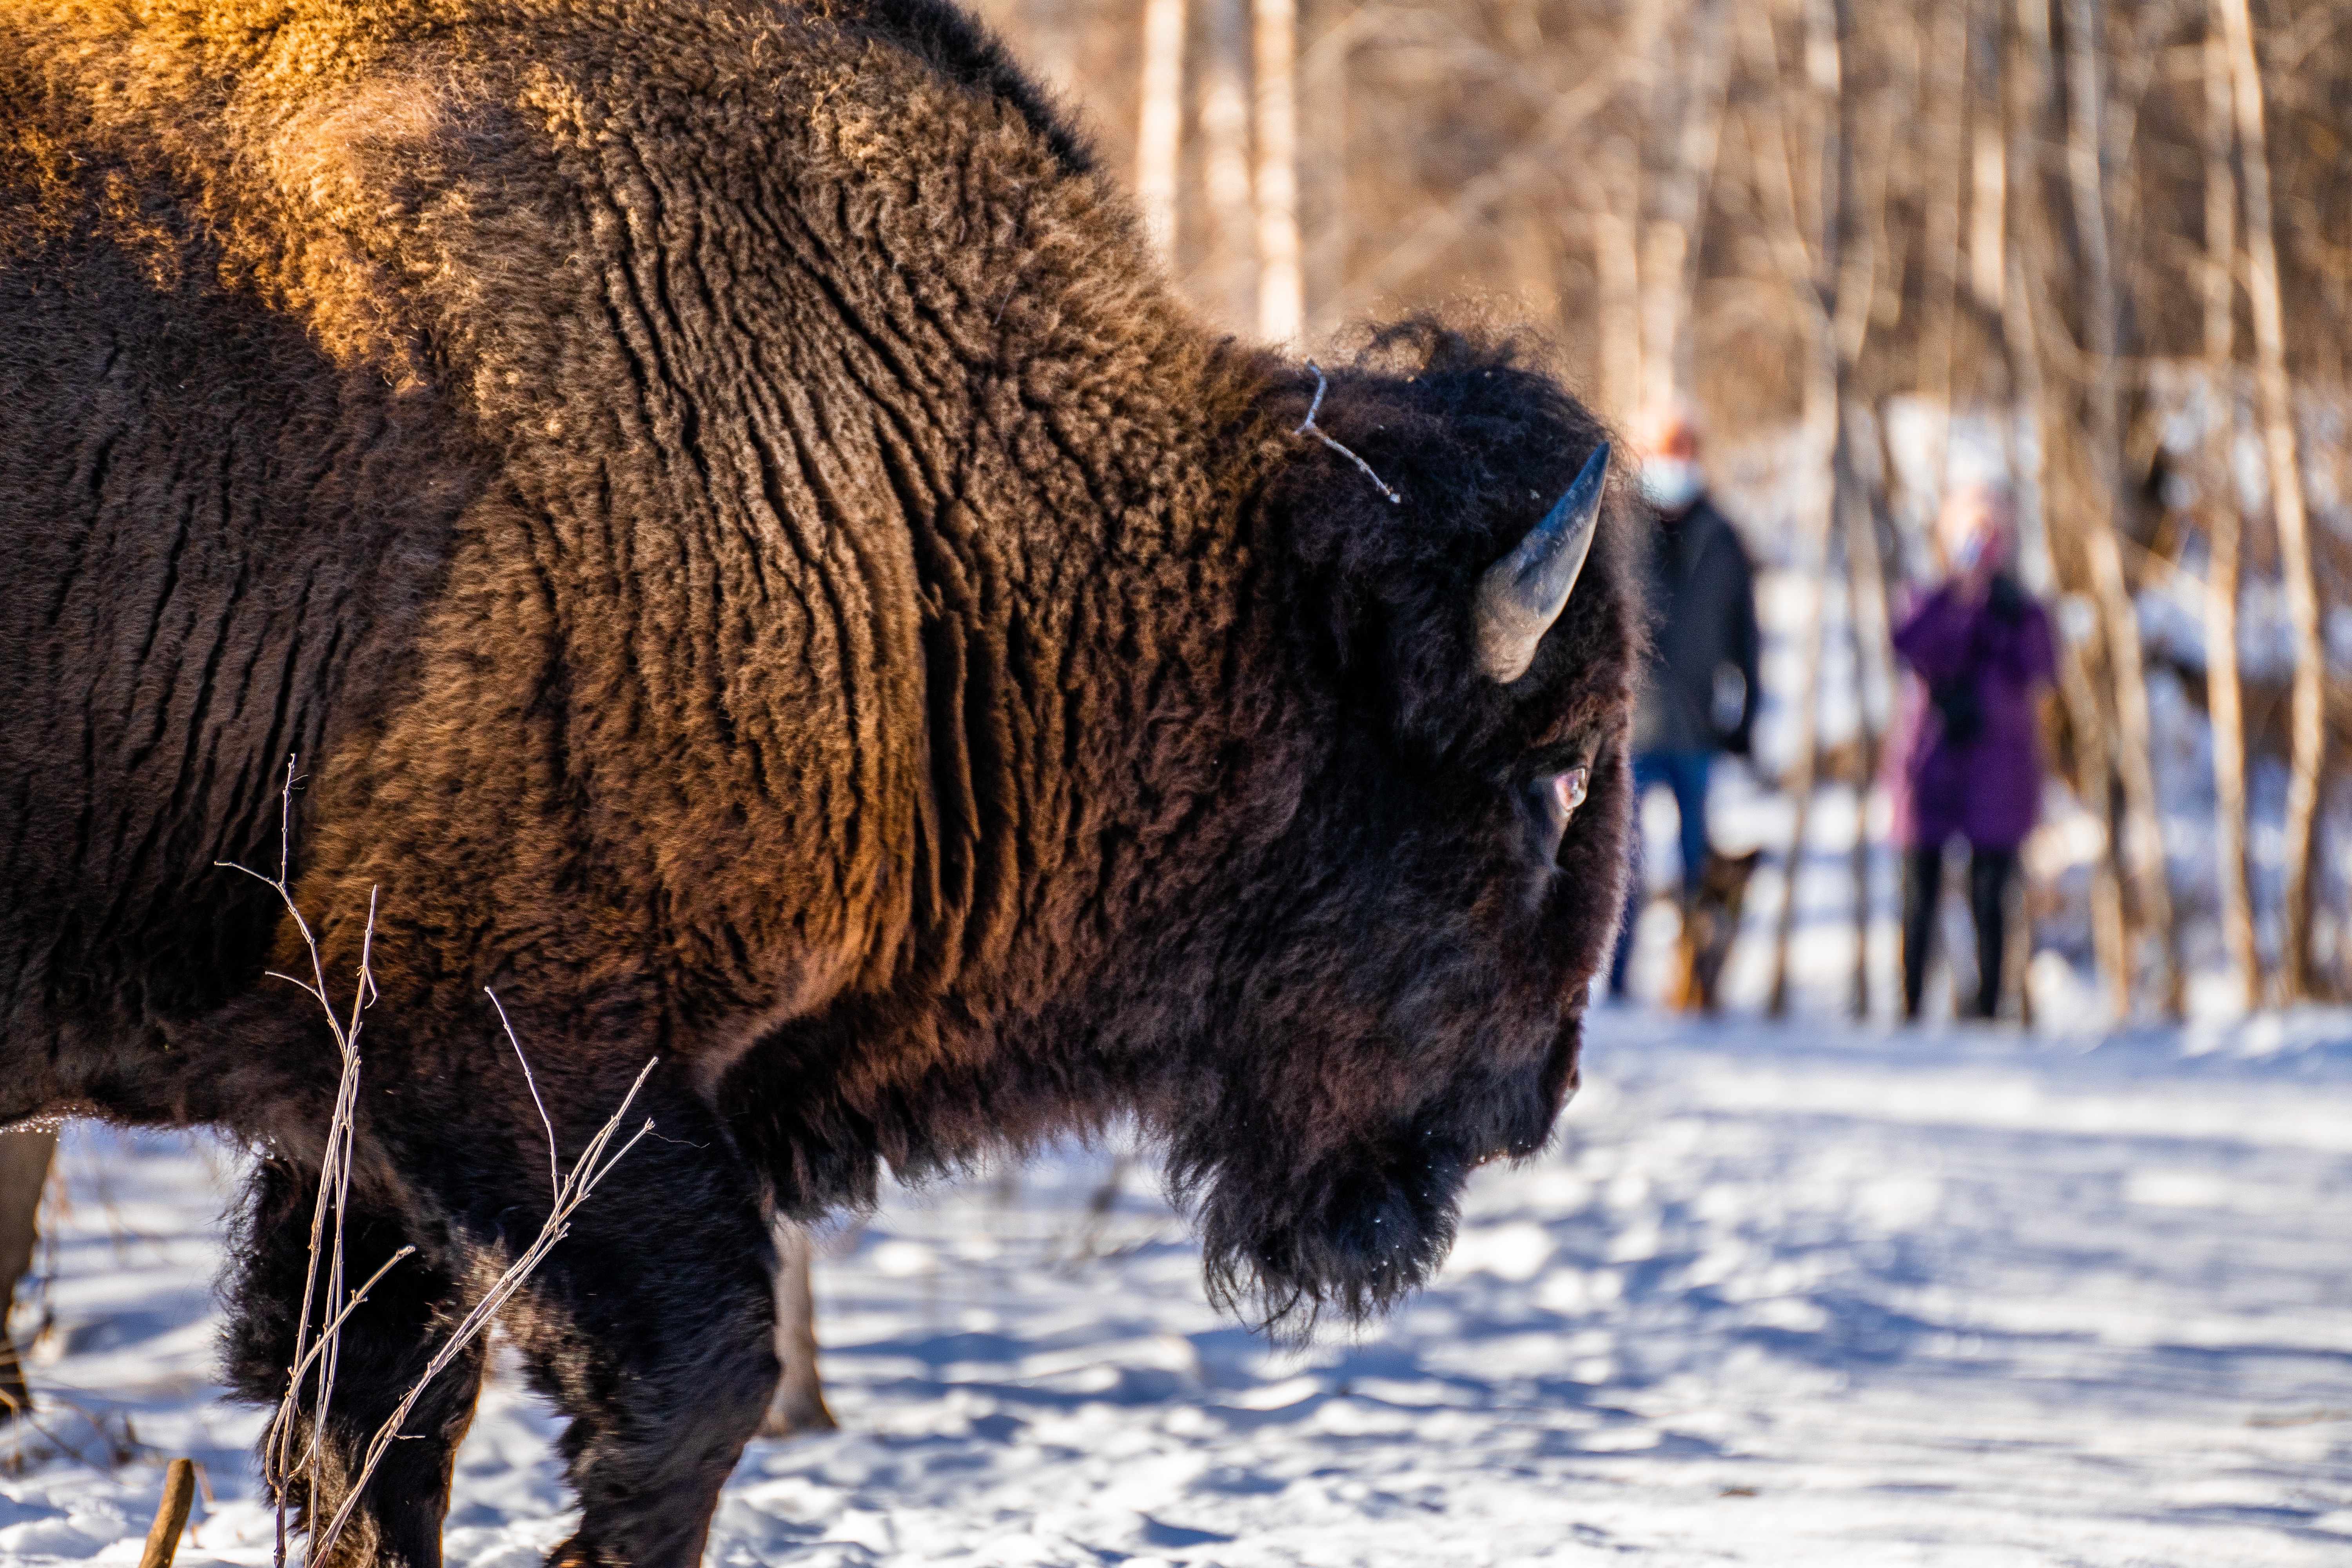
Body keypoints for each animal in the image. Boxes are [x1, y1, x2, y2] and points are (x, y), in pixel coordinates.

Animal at [0, 0, 1637, 1561]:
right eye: (1553, 778)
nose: (1535, 1098)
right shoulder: (515, 1053)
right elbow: (688, 1380)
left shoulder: (356, 1130)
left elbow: (370, 1424)